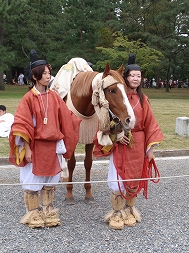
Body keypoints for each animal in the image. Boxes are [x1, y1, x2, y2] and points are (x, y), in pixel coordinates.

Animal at [50, 59, 136, 206]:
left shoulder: (90, 137)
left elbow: (88, 163)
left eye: (125, 89)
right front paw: (69, 193)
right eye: (112, 90)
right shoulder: (72, 136)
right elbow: (72, 163)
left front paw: (88, 193)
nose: (130, 120)